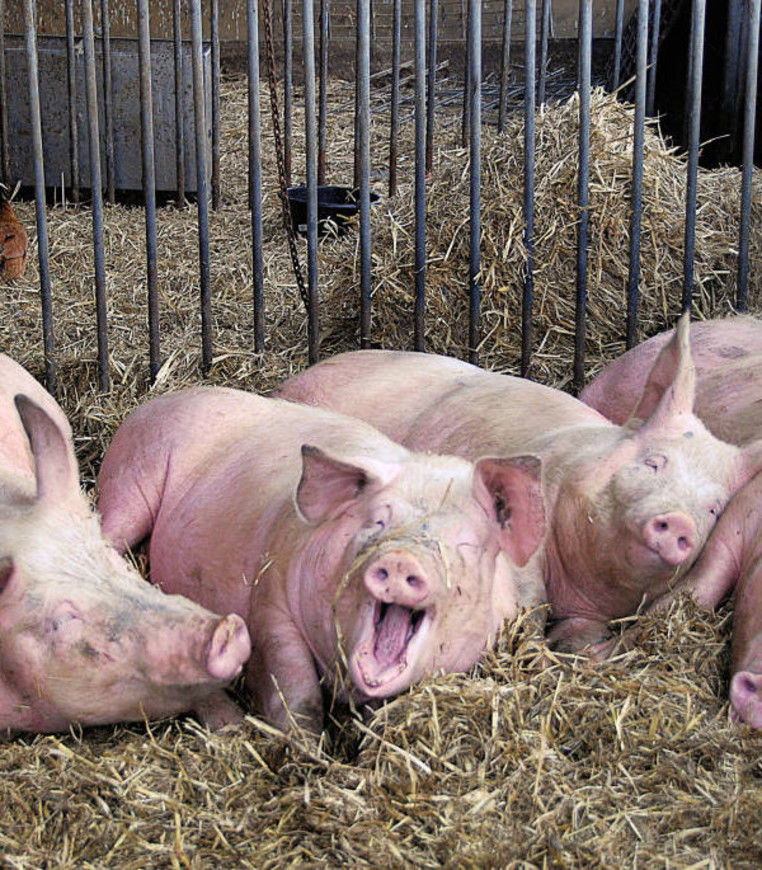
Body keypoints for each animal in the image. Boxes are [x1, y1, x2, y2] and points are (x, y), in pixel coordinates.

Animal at [96, 386, 547, 733]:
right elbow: (295, 689)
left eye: (465, 545)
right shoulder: (271, 596)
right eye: (378, 521)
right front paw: (307, 751)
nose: (402, 560)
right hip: (130, 476)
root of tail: (163, 397)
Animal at [276, 313, 762, 651]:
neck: (585, 579)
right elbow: (525, 587)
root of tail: (295, 380)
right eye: (654, 462)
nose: (679, 521)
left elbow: (582, 632)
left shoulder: (595, 610)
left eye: (714, 507)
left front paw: (567, 647)